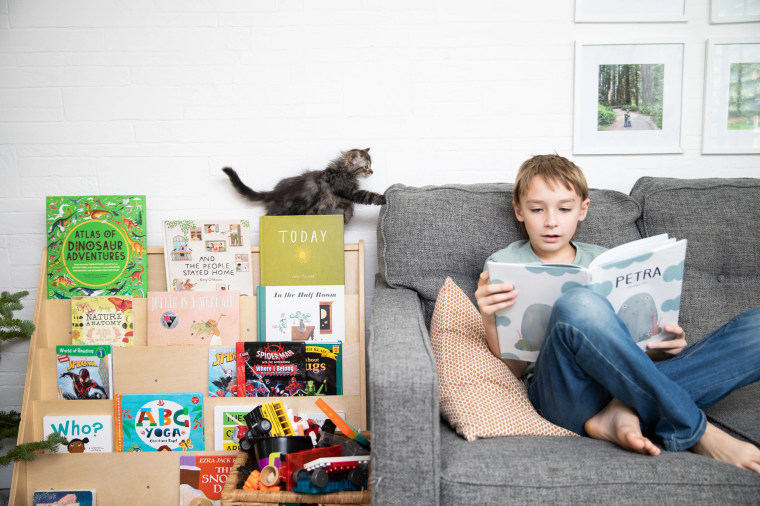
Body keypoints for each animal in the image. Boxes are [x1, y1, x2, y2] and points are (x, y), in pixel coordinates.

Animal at [220, 148, 386, 223]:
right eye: (366, 167)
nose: (372, 171)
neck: (343, 171)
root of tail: (274, 192)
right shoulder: (348, 191)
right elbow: (367, 195)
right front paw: (383, 198)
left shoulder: (334, 198)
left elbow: (349, 205)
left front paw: (347, 217)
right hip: (286, 210)